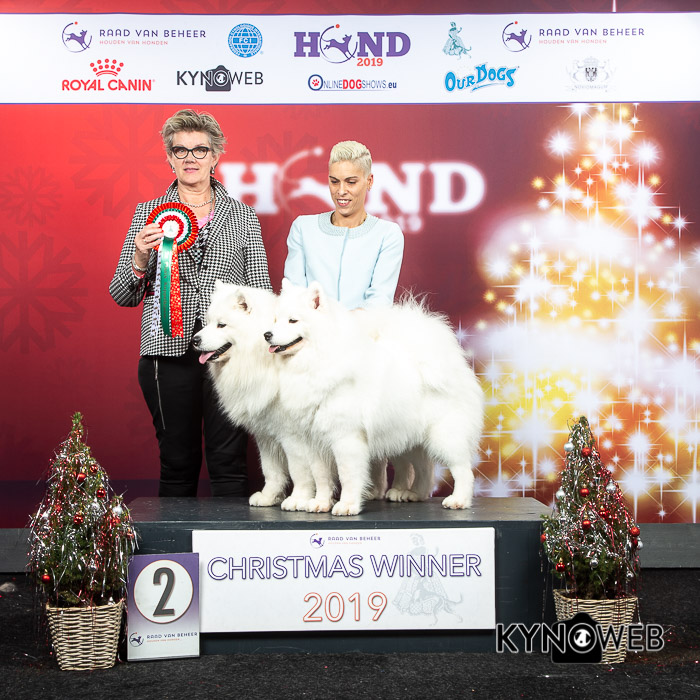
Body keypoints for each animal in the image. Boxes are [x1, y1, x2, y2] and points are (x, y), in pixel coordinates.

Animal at [265, 279, 484, 516]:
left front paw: (347, 505)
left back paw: (459, 500)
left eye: (293, 320)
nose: (267, 334)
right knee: (424, 468)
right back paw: (414, 493)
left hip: (444, 435)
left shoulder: (346, 437)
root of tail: (454, 362)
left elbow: (348, 475)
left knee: (462, 469)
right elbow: (321, 477)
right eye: (275, 319)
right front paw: (320, 503)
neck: (315, 360)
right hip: (411, 439)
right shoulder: (314, 440)